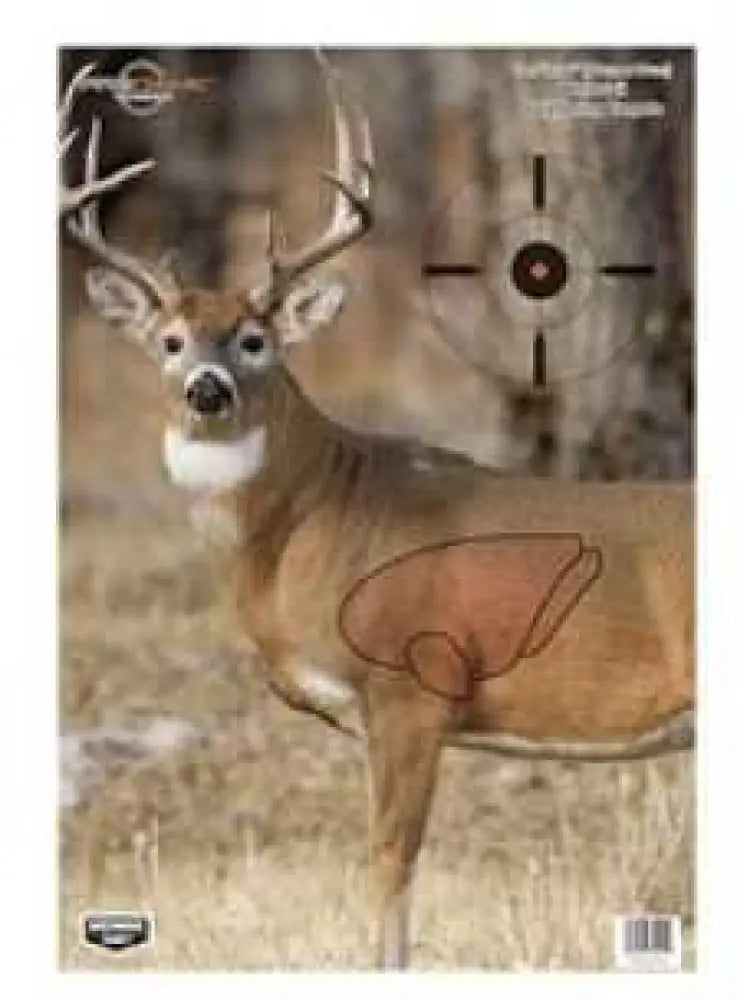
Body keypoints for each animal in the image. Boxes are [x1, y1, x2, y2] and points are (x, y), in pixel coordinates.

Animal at [60, 56, 694, 969]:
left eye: (254, 339)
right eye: (170, 341)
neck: (314, 523)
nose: (206, 389)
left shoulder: (410, 686)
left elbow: (390, 862)